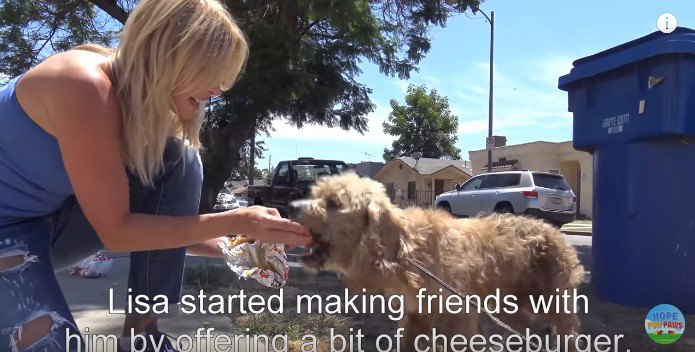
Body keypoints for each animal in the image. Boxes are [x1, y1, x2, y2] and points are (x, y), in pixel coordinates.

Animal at [290, 172, 584, 350]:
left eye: (334, 202)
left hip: (558, 299)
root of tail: (551, 228)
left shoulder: (459, 316)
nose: (292, 207)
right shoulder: (416, 315)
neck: (408, 249)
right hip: (512, 303)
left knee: (566, 332)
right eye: (316, 194)